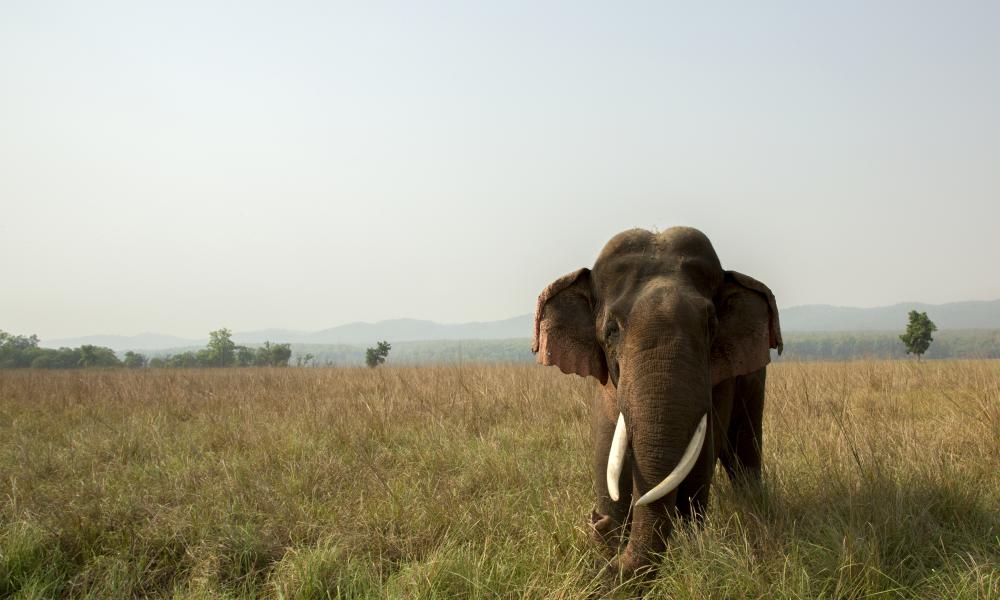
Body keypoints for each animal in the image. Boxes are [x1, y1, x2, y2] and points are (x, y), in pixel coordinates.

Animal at [532, 226, 780, 576]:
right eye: (611, 330)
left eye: (711, 326)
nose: (596, 522)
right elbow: (607, 461)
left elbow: (697, 469)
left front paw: (691, 545)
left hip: (753, 379)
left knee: (744, 451)